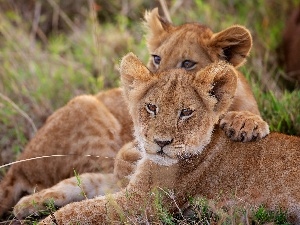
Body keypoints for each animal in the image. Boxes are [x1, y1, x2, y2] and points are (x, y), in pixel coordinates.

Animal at [0, 7, 268, 217]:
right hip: (89, 108)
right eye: (156, 58)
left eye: (188, 63)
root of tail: (16, 167)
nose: (155, 85)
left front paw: (247, 123)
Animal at [34, 53, 298, 224]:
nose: (161, 143)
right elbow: (77, 185)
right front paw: (28, 202)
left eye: (186, 112)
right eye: (151, 107)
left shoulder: (138, 204)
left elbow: (76, 212)